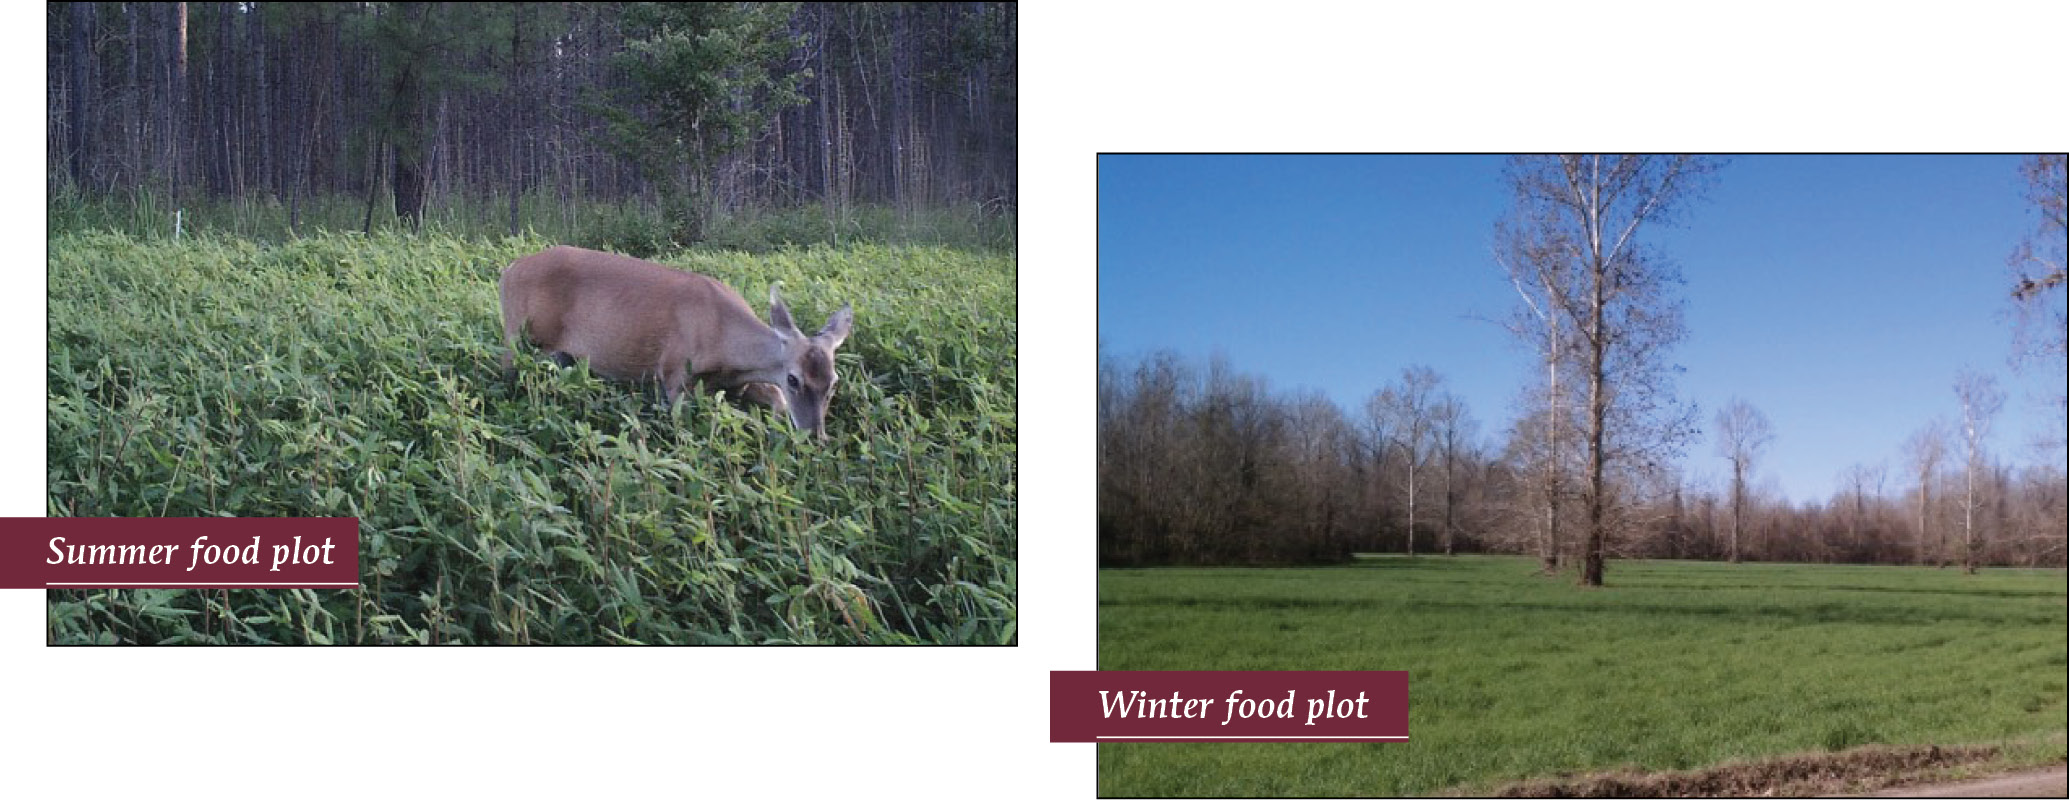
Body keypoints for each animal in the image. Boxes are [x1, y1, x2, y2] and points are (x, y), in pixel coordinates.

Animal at [496, 245, 852, 438]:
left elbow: (774, 402)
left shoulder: (739, 382)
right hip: (517, 333)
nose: (814, 434)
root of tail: (509, 269)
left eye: (833, 382)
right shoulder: (675, 374)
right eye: (793, 378)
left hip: (562, 354)